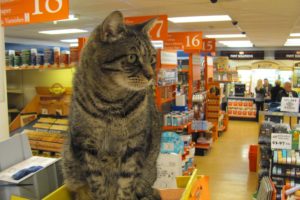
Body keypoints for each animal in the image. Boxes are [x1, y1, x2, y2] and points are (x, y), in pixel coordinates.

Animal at [62, 10, 163, 200]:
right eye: (132, 58)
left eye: (153, 58)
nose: (151, 76)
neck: (111, 101)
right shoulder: (86, 144)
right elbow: (96, 182)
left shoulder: (134, 145)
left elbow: (127, 183)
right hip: (68, 161)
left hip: (149, 172)